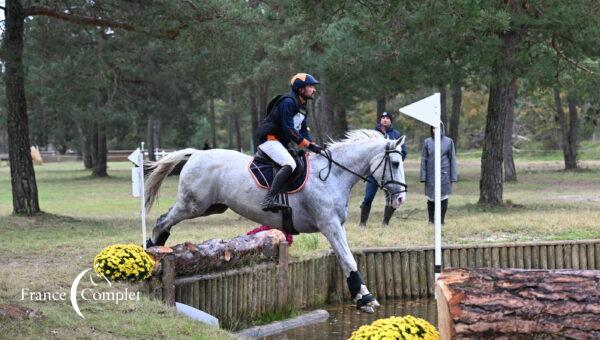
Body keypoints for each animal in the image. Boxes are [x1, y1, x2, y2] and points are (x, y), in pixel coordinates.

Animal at [145, 129, 408, 310]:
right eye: (395, 163)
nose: (400, 199)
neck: (332, 175)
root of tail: (198, 153)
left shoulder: (337, 226)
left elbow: (346, 259)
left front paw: (361, 296)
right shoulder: (329, 225)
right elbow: (348, 259)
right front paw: (366, 298)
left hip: (211, 207)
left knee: (165, 220)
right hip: (193, 205)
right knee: (162, 220)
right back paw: (152, 248)